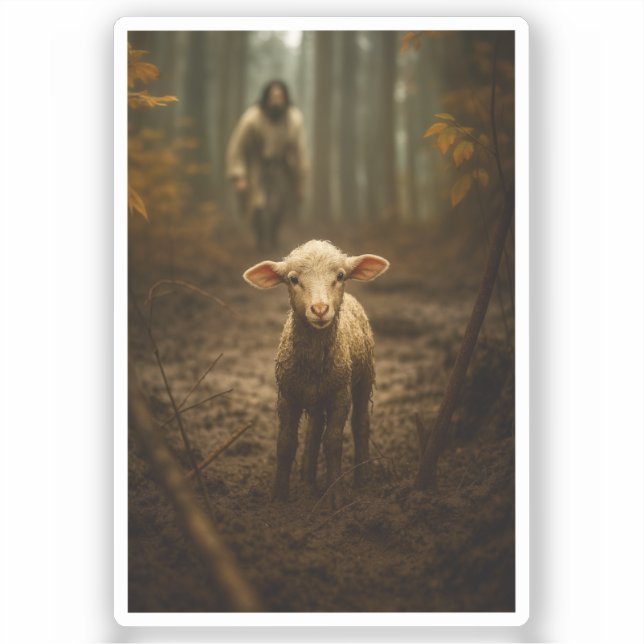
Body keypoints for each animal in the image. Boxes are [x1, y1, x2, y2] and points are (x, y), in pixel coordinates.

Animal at [243, 239, 390, 505]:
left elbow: (332, 442)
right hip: (316, 396)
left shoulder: (340, 395)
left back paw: (362, 476)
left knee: (360, 422)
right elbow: (286, 443)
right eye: (293, 279)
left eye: (340, 276)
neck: (312, 362)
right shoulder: (287, 395)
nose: (320, 309)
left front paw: (335, 496)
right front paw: (279, 495)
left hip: (364, 375)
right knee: (314, 429)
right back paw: (307, 478)